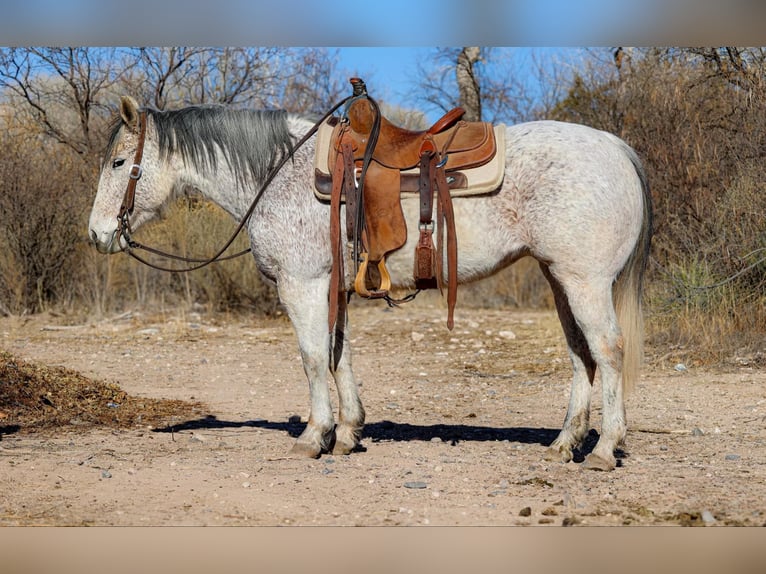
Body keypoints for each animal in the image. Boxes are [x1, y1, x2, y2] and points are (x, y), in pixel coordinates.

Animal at [88, 95, 652, 471]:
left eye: (118, 162)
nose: (96, 234)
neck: (280, 173)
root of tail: (616, 148)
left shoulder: (301, 285)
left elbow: (313, 357)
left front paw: (314, 435)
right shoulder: (332, 288)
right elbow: (339, 356)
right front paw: (348, 432)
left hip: (584, 282)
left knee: (607, 350)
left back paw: (604, 449)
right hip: (560, 279)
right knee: (581, 356)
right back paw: (565, 443)